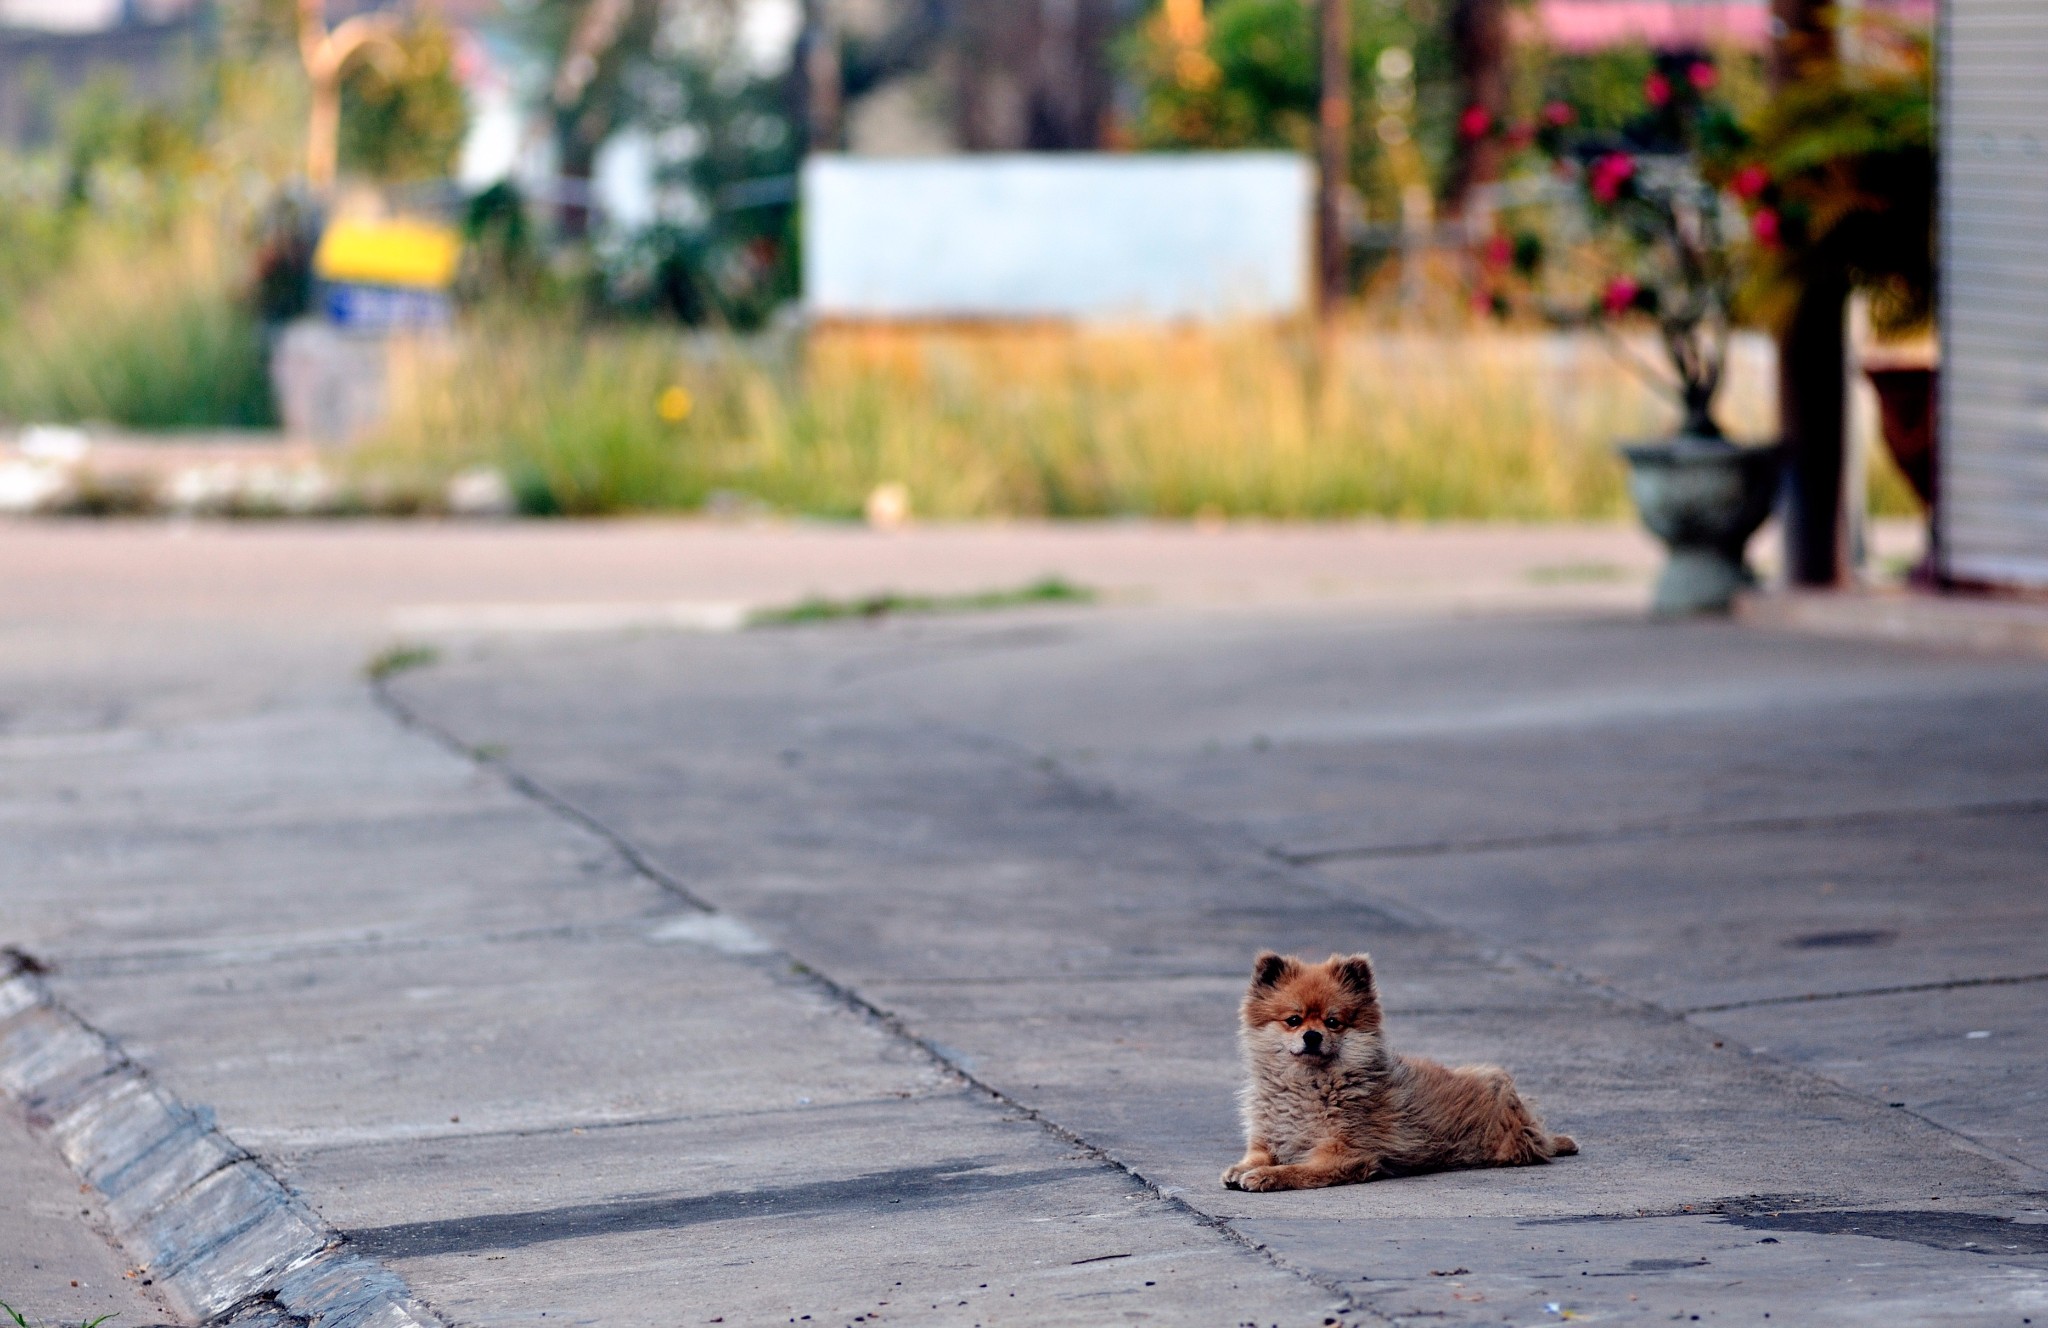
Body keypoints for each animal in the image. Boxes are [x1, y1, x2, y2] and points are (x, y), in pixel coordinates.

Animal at [1220, 950, 1572, 1188]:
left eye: (1333, 1022)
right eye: (1293, 1020)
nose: (1312, 1035)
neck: (1307, 1083)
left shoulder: (1343, 1154)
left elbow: (1297, 1170)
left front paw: (1266, 1176)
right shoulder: (1266, 1138)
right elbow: (1255, 1155)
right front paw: (1241, 1168)